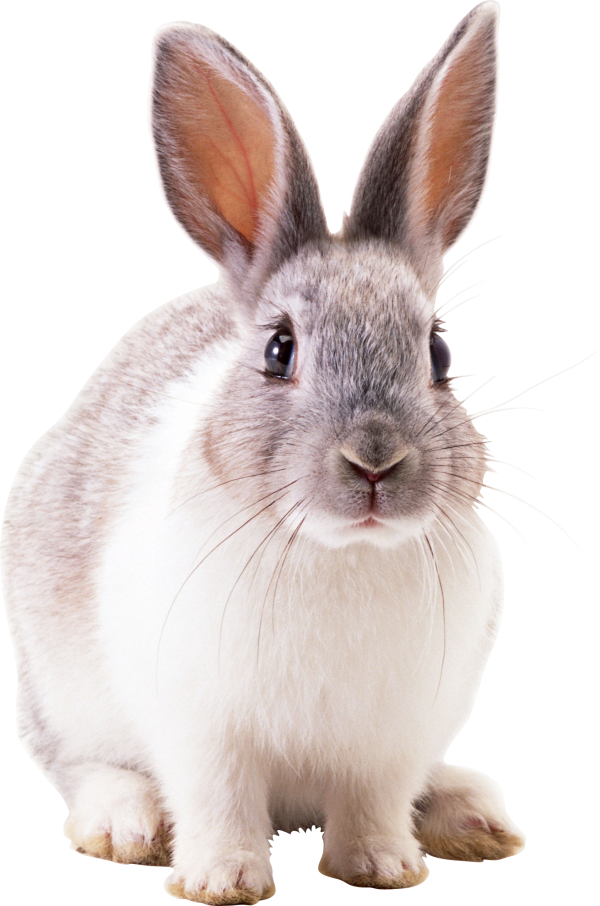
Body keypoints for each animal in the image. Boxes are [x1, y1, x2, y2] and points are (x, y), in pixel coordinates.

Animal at [1, 2, 528, 902]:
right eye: (280, 350)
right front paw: (220, 883)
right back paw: (124, 824)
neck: (340, 553)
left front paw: (382, 869)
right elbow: (218, 802)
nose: (375, 461)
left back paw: (472, 816)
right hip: (55, 694)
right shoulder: (202, 731)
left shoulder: (388, 743)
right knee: (77, 766)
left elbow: (373, 805)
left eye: (440, 354)